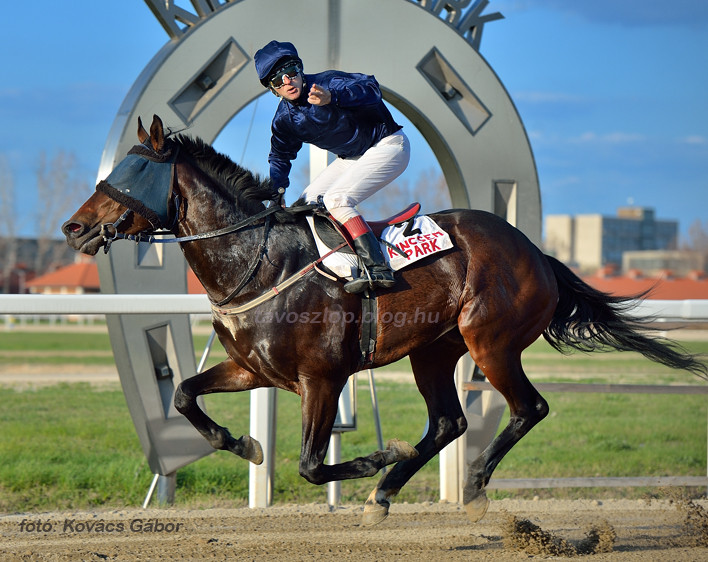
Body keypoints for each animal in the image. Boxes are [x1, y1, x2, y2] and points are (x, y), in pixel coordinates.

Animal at [63, 116, 704, 524]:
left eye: (129, 172)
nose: (73, 227)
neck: (259, 263)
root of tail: (537, 253)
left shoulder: (321, 378)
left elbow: (310, 465)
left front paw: (379, 456)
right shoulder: (254, 369)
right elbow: (183, 396)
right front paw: (241, 442)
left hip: (489, 341)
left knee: (529, 408)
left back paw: (470, 486)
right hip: (434, 351)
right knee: (449, 423)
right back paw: (384, 496)